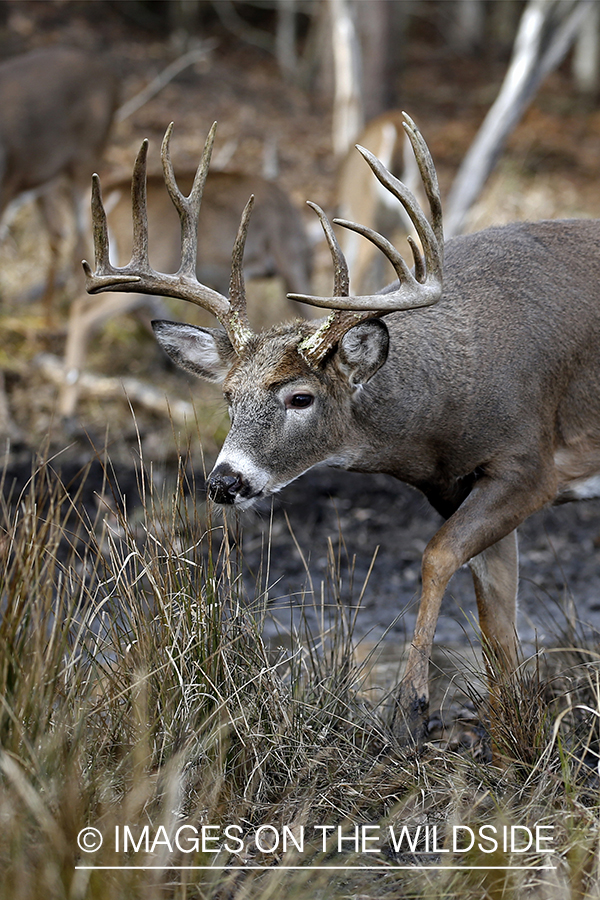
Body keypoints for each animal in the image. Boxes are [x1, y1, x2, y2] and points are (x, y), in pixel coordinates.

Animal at [82, 116, 600, 748]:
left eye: (300, 397)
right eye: (229, 396)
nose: (225, 482)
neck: (445, 409)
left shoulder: (530, 462)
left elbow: (437, 555)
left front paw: (412, 706)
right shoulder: (459, 485)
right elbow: (498, 633)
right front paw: (508, 745)